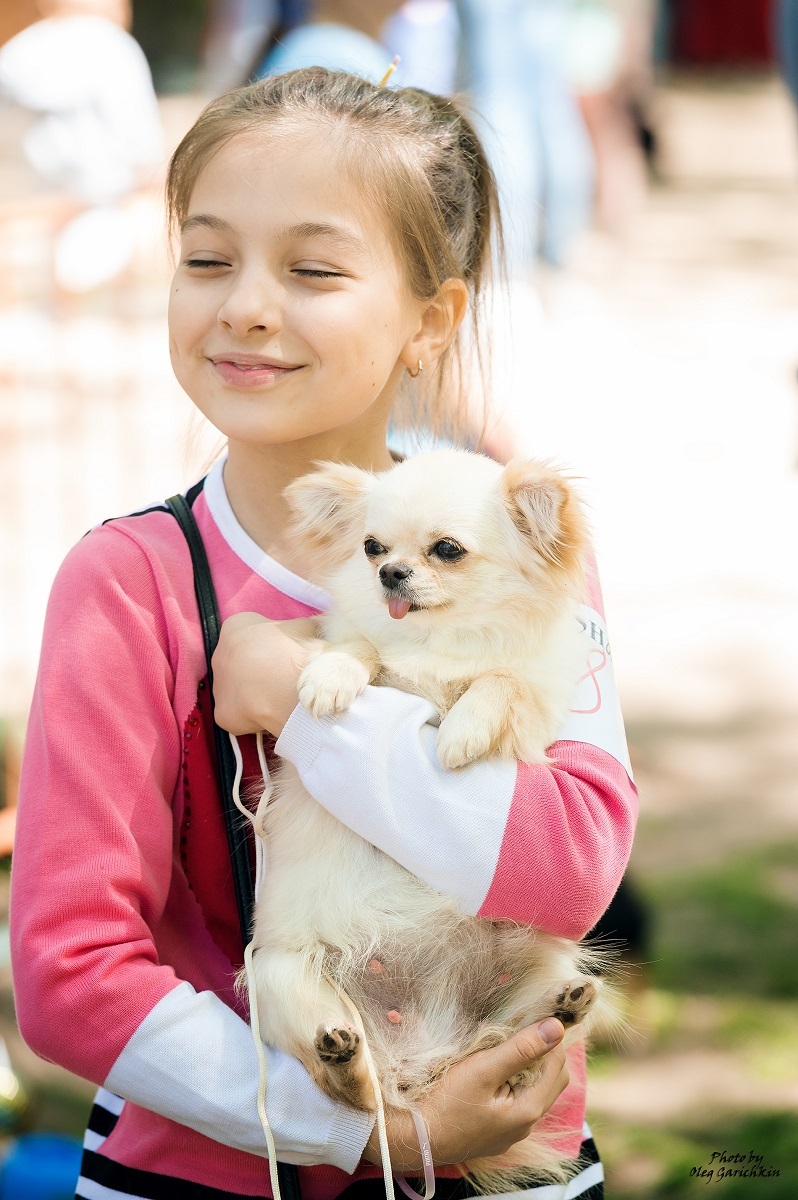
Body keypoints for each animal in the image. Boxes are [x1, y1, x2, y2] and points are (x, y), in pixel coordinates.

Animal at [249, 451, 609, 1190]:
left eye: (447, 550)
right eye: (371, 547)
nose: (390, 572)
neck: (439, 642)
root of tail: (420, 1061)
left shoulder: (533, 707)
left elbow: (500, 681)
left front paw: (463, 731)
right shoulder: (371, 648)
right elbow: (360, 647)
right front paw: (330, 678)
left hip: (546, 958)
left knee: (533, 1040)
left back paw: (561, 1008)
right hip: (279, 976)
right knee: (354, 1091)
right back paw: (340, 1053)